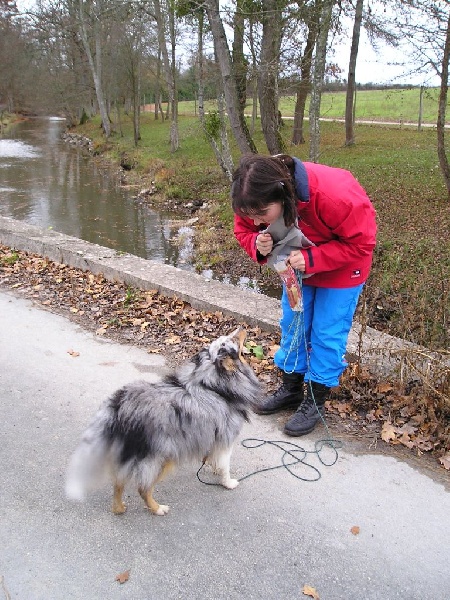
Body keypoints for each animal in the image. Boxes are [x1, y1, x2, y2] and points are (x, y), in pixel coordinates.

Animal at [67, 328, 264, 516]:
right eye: (233, 340)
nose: (242, 327)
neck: (214, 386)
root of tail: (117, 407)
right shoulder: (227, 438)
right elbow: (225, 466)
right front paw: (228, 483)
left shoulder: (213, 436)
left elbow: (213, 459)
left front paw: (212, 467)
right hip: (160, 457)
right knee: (142, 487)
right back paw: (157, 509)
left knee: (118, 482)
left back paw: (119, 509)